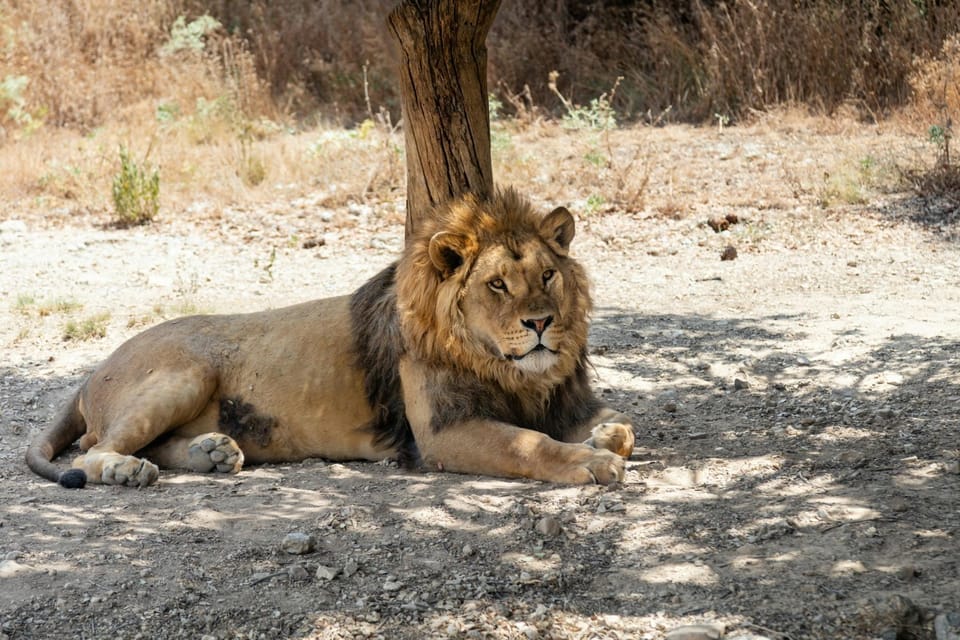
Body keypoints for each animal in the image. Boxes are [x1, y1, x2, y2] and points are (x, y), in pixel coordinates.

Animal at [26, 189, 635, 489]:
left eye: (547, 276)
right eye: (497, 284)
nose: (541, 324)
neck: (508, 369)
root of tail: (91, 371)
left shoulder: (563, 401)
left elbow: (622, 425)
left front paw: (604, 439)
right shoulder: (445, 432)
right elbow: (526, 443)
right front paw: (590, 461)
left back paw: (213, 453)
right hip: (184, 374)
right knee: (95, 448)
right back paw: (128, 471)